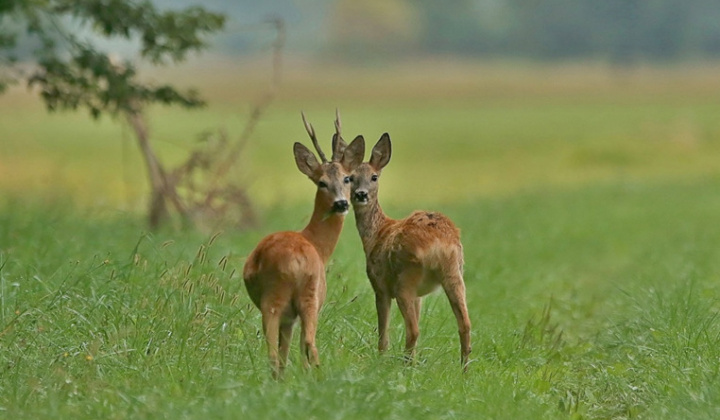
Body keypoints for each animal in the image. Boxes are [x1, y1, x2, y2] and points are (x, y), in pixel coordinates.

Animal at [243, 111, 366, 378]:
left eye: (347, 178)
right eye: (321, 182)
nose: (341, 203)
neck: (317, 245)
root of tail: (295, 262)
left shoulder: (289, 316)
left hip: (278, 301)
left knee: (276, 351)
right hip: (302, 296)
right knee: (309, 344)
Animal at [350, 133, 472, 370]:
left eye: (374, 177)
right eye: (350, 178)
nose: (360, 195)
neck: (376, 233)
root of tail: (437, 243)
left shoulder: (379, 285)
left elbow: (383, 331)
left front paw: (380, 359)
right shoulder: (419, 296)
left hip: (405, 278)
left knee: (413, 330)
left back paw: (405, 366)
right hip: (454, 273)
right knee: (465, 324)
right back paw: (464, 370)